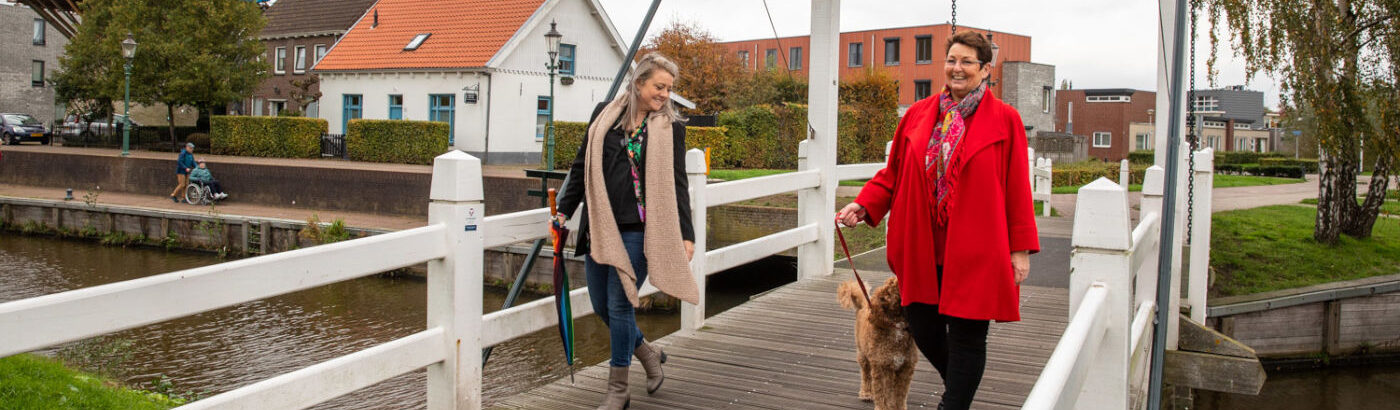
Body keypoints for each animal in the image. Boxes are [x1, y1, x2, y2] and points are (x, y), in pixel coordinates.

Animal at [840, 274, 918, 408]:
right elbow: (882, 393)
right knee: (866, 374)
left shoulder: (906, 367)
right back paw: (866, 393)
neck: (896, 326)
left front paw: (897, 406)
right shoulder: (881, 366)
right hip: (863, 354)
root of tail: (864, 304)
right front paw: (883, 407)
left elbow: (900, 394)